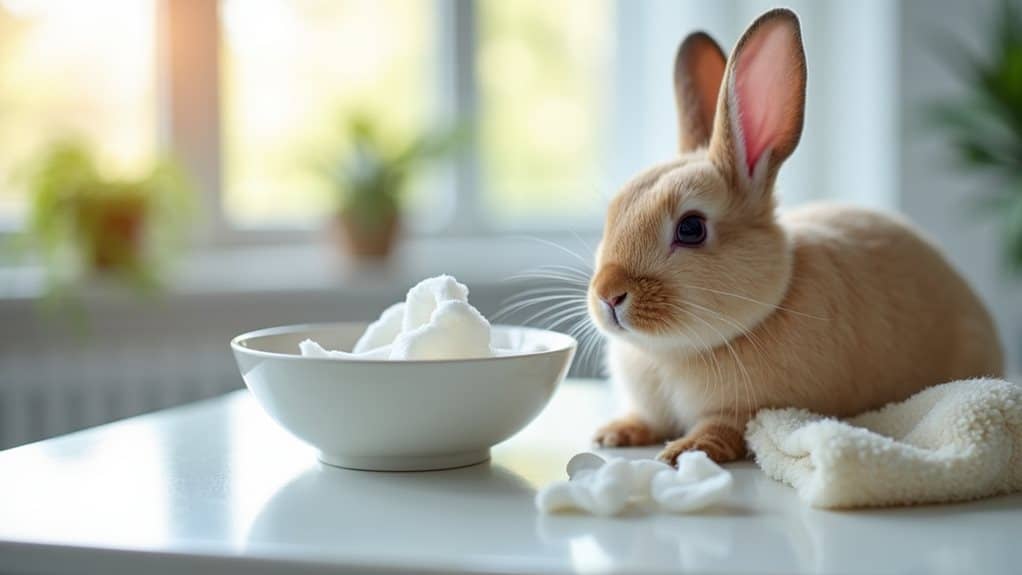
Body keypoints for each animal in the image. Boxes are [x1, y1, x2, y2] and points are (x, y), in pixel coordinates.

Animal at [588, 8, 1004, 465]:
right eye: (613, 214)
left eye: (691, 228)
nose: (608, 294)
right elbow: (645, 418)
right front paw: (613, 434)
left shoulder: (745, 410)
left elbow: (722, 428)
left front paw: (686, 450)